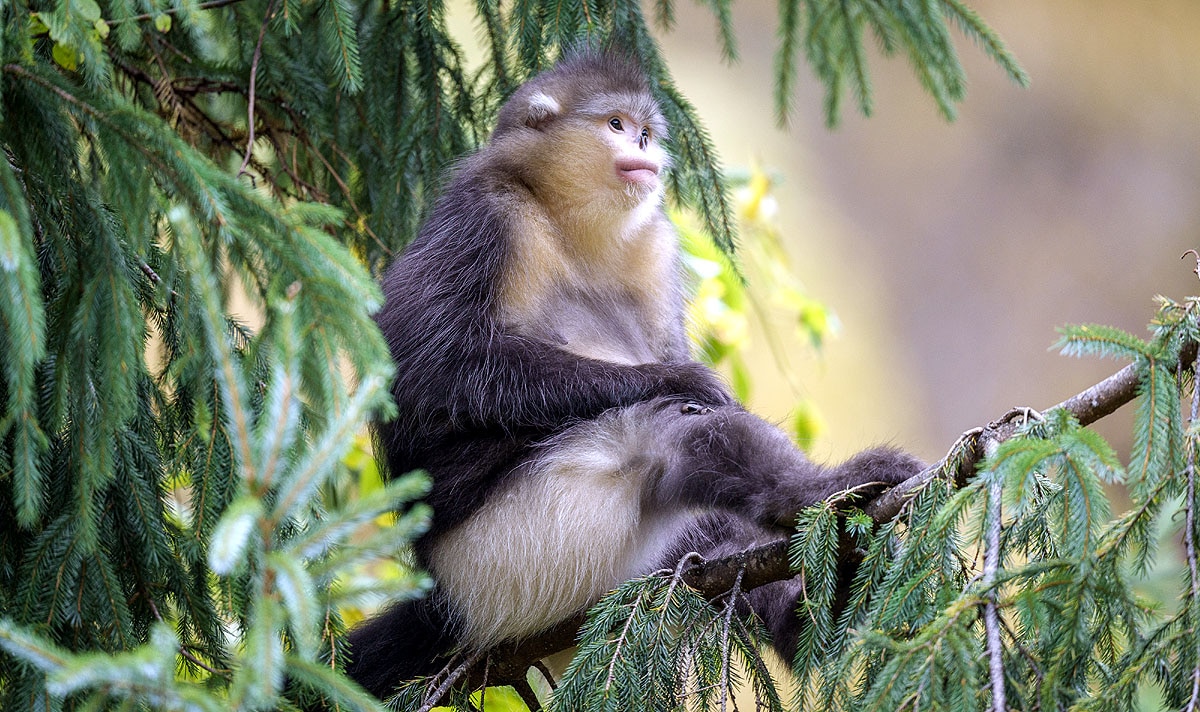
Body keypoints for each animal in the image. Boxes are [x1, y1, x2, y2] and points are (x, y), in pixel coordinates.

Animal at [344, 52, 924, 699]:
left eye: (646, 131)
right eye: (616, 125)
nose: (643, 146)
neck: (567, 223)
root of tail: (448, 601)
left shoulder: (654, 242)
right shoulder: (484, 214)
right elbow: (430, 368)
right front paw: (676, 380)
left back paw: (814, 606)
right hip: (512, 560)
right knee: (670, 436)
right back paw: (828, 492)